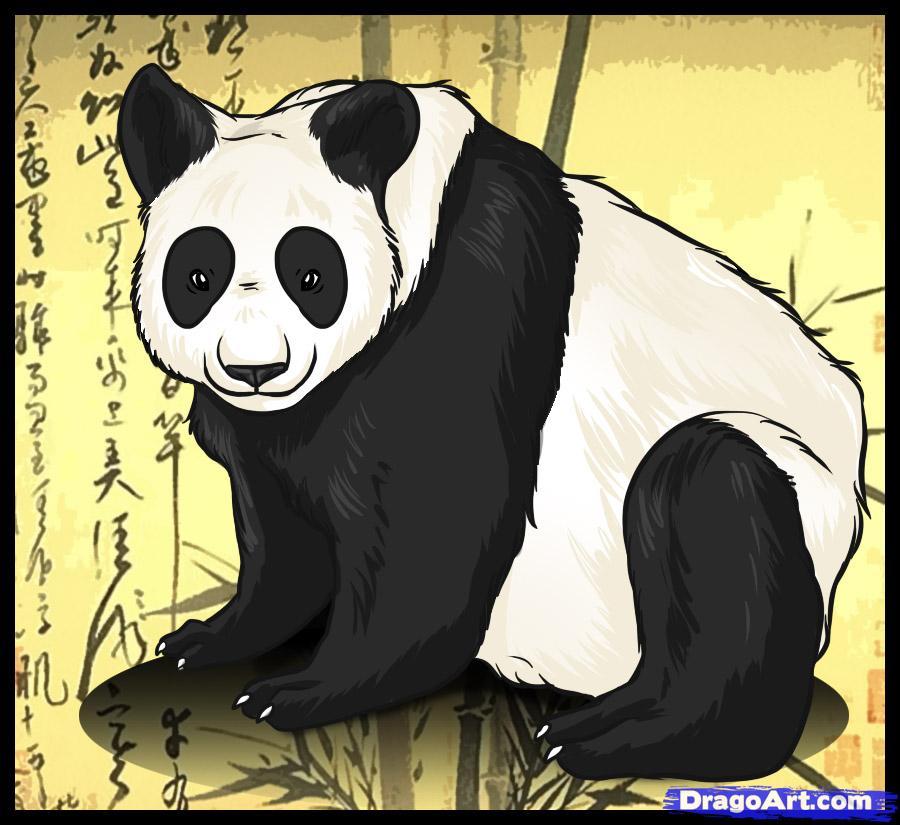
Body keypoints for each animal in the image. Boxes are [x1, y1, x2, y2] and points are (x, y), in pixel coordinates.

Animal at [117, 64, 867, 782]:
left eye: (310, 276)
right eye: (198, 275)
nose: (255, 368)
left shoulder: (470, 302)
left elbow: (433, 525)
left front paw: (305, 690)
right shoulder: (277, 426)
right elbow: (281, 531)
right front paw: (208, 639)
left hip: (798, 489)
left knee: (712, 485)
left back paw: (622, 739)